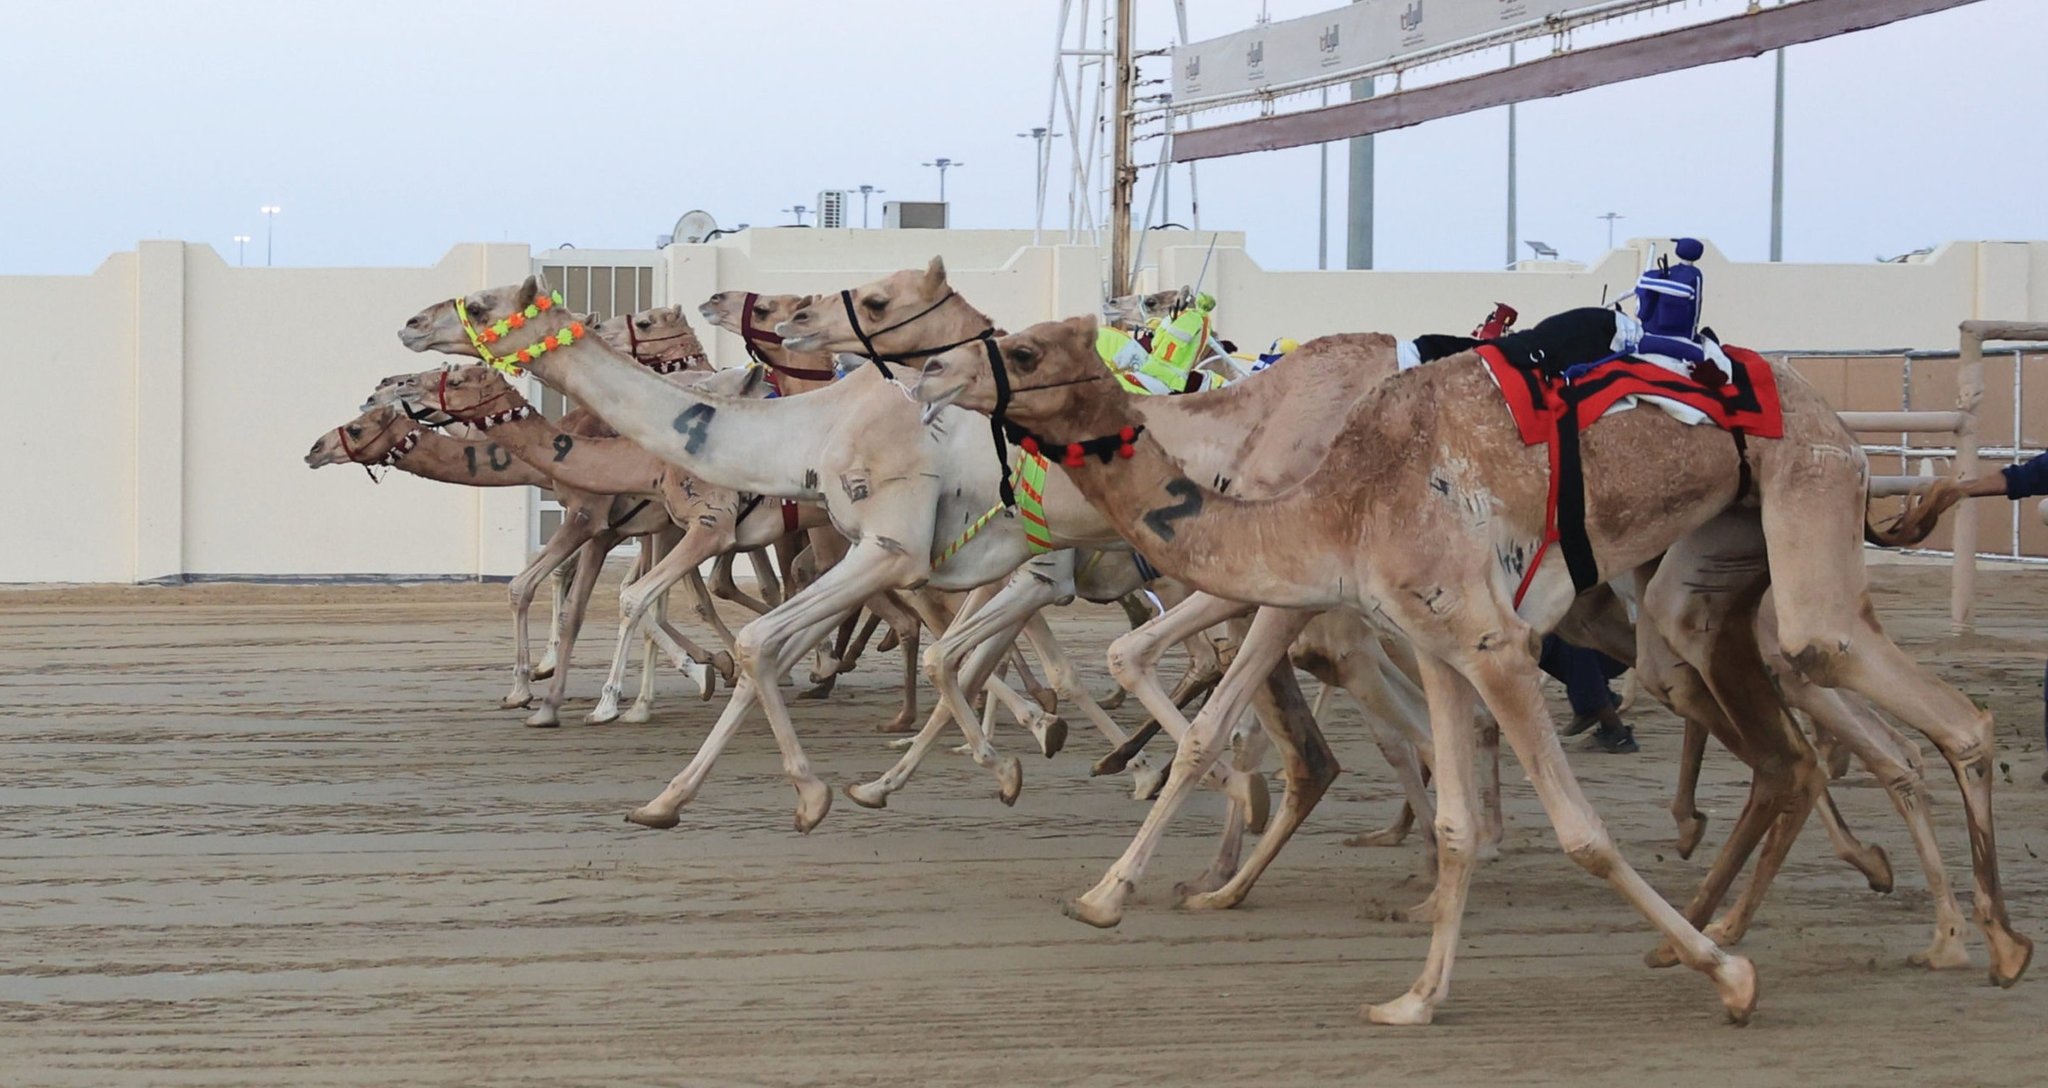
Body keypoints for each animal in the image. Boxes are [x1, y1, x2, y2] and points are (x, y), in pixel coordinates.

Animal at [909, 312, 2031, 1024]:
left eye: (1019, 345)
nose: (928, 377)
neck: (1329, 492)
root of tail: (1832, 415)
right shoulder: (1436, 638)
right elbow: (1447, 819)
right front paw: (1415, 995)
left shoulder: (1487, 641)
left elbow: (1579, 830)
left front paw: (1735, 983)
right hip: (1703, 579)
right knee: (1782, 741)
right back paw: (1736, 923)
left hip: (1807, 499)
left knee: (1892, 696)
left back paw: (1980, 940)